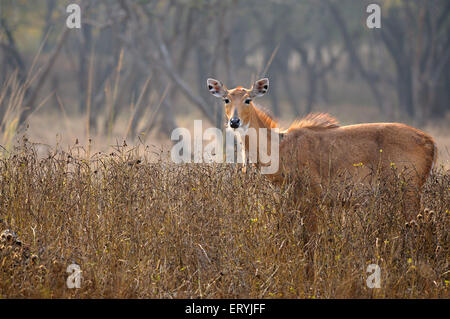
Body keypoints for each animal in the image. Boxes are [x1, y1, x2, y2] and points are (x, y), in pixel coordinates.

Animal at [207, 78, 436, 216]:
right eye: (226, 99)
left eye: (248, 99)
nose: (234, 122)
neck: (280, 146)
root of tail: (429, 141)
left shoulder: (313, 195)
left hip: (408, 190)